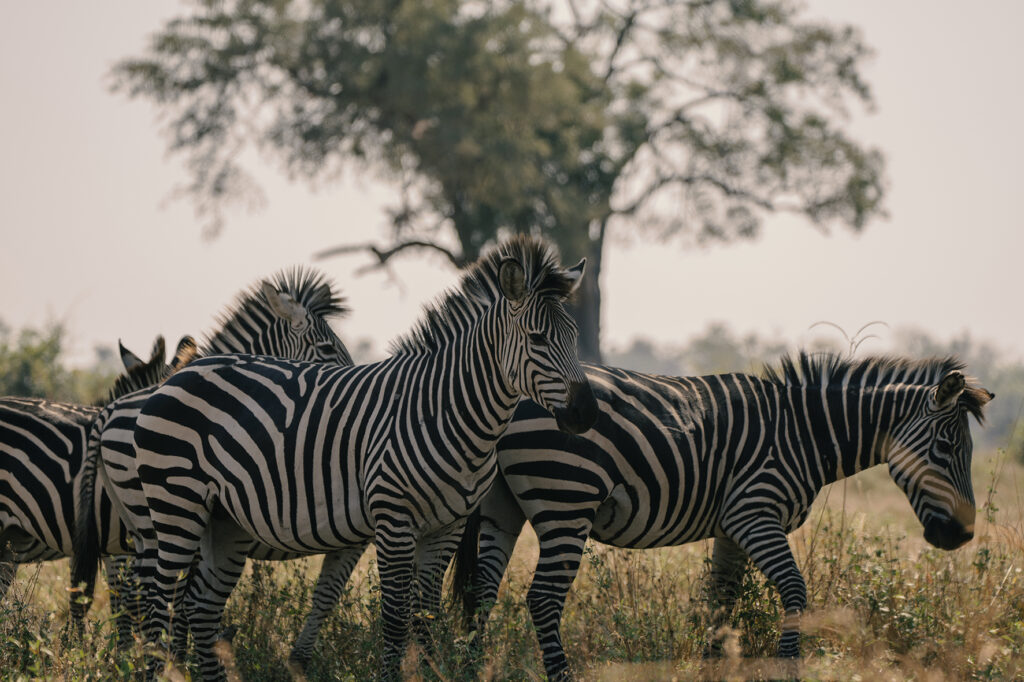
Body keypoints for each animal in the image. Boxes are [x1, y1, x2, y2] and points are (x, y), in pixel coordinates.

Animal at [125, 235, 598, 680]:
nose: (586, 413)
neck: (444, 408)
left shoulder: (447, 526)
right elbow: (395, 621)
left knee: (199, 609)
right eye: (537, 339)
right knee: (157, 606)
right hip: (175, 506)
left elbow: (425, 616)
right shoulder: (392, 520)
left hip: (225, 521)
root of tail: (179, 373)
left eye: (575, 338)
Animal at [450, 353, 993, 679]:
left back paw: (470, 669)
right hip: (567, 498)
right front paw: (789, 669)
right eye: (947, 448)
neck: (805, 434)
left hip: (503, 505)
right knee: (542, 599)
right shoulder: (755, 513)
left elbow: (720, 605)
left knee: (481, 593)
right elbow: (794, 591)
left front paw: (712, 669)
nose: (962, 536)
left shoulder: (732, 528)